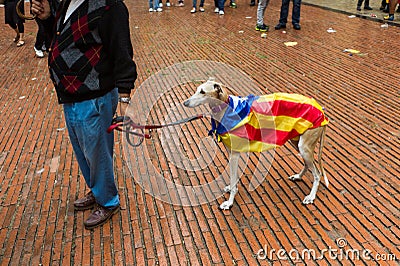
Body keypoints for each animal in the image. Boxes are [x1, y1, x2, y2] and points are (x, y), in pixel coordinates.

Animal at [184, 78, 328, 211]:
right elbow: (233, 178)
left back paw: (311, 197)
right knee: (308, 164)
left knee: (317, 174)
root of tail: (322, 111)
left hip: (304, 147)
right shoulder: (231, 153)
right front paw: (231, 189)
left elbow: (233, 178)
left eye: (203, 92)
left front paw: (229, 202)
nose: (185, 103)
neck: (227, 109)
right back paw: (298, 177)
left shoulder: (234, 154)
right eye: (197, 89)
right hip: (297, 142)